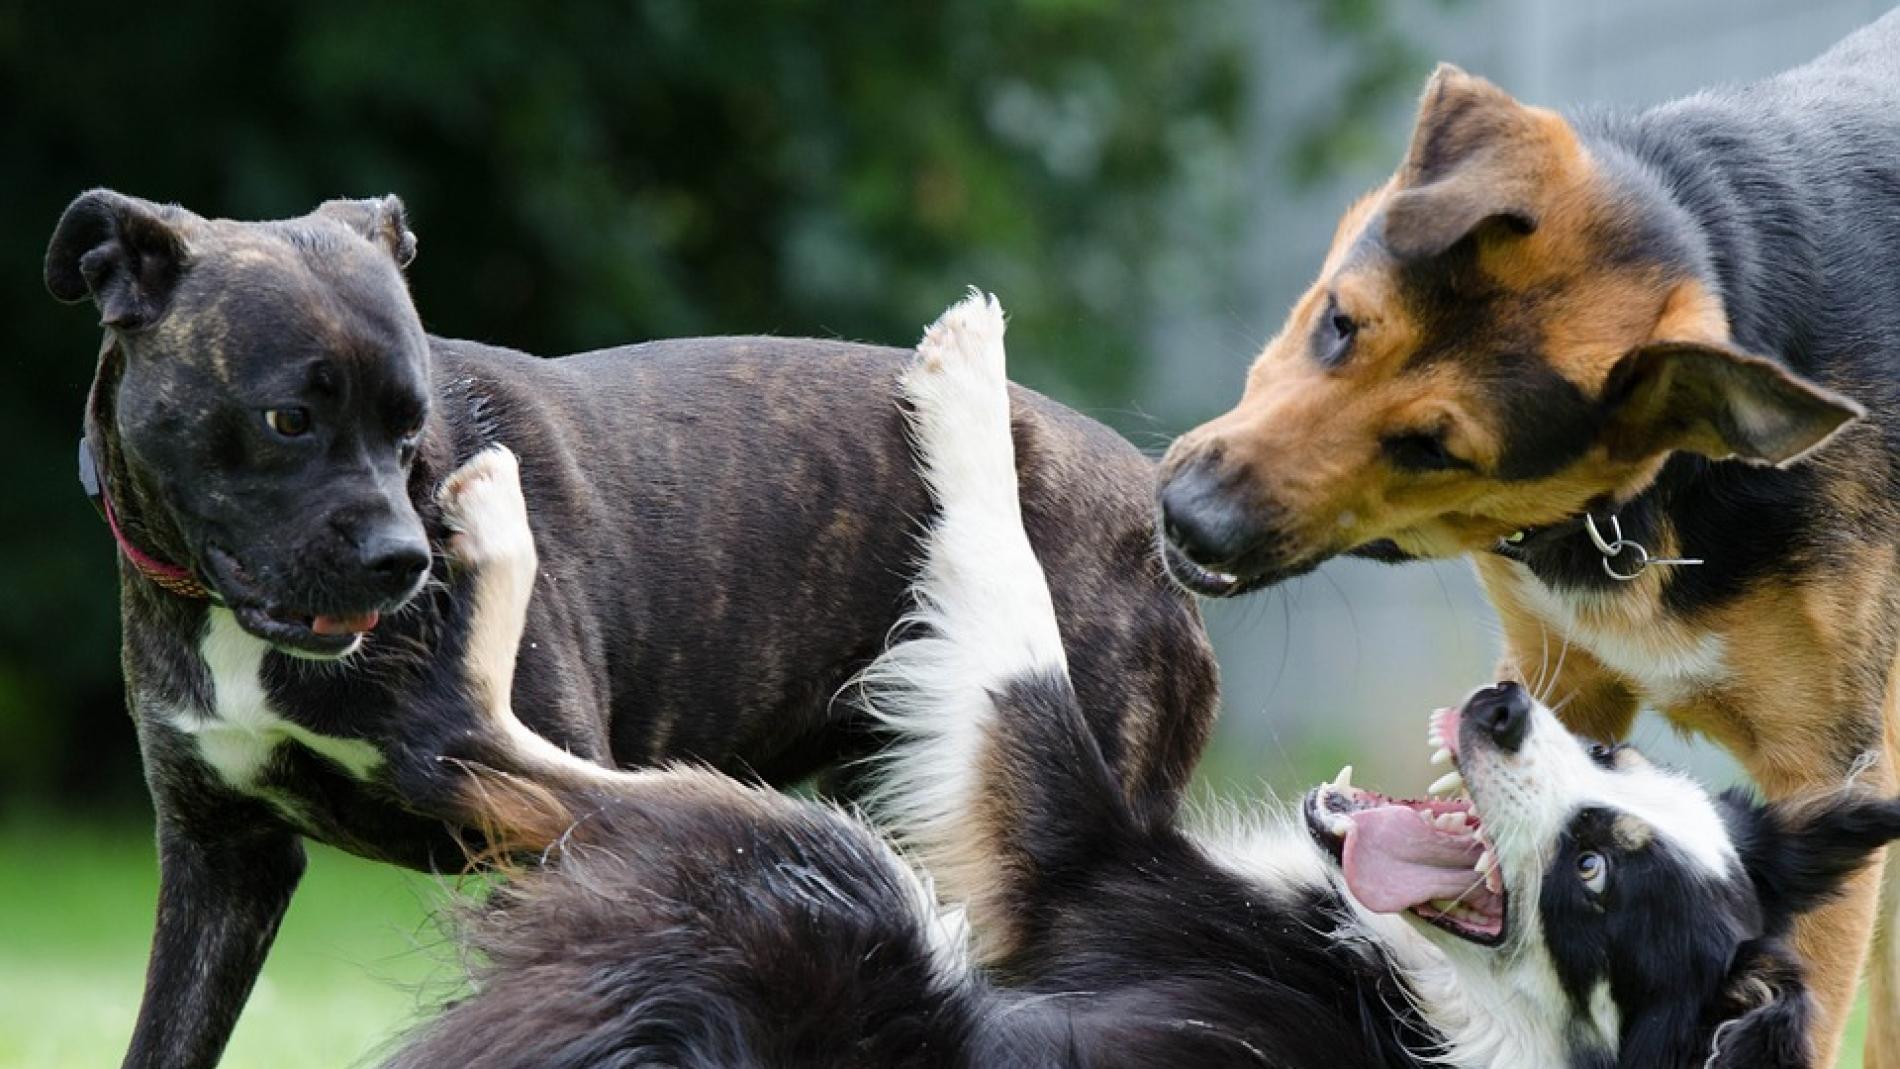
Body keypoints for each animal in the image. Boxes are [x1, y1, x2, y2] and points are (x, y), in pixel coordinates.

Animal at [40, 194, 1216, 1069]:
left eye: (410, 425)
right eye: (288, 418)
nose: (403, 560)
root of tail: (1148, 508)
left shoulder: (548, 843)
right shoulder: (218, 862)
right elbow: (166, 1038)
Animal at [385, 296, 1900, 1069]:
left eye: (1592, 876)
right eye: (1624, 764)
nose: (1502, 707)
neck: (1447, 1011)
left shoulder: (1070, 859)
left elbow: (1012, 626)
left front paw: (968, 375)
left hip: (837, 883)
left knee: (493, 742)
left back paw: (487, 530)